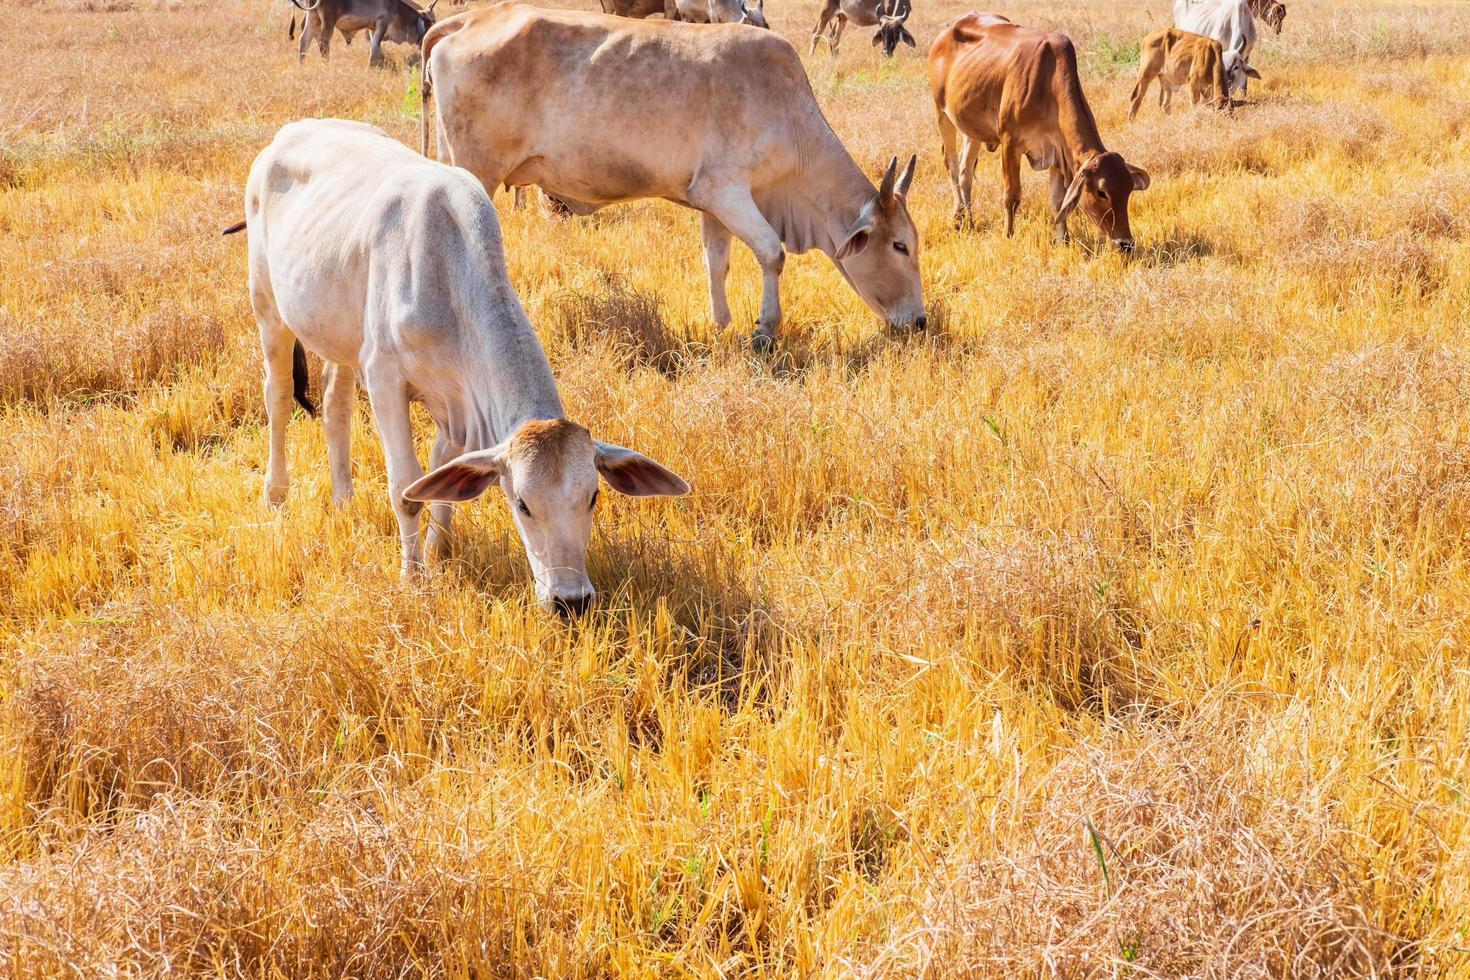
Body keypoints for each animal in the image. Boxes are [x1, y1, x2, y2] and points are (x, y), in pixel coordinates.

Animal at [929, 12, 1146, 249]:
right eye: (1101, 192)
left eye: (1128, 190)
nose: (1125, 243)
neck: (1048, 82)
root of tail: (946, 31)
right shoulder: (1010, 142)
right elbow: (1012, 196)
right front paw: (1008, 235)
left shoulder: (1058, 152)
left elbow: (1057, 202)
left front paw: (1064, 241)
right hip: (942, 114)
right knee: (951, 165)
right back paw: (958, 219)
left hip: (971, 128)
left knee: (965, 171)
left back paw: (969, 220)